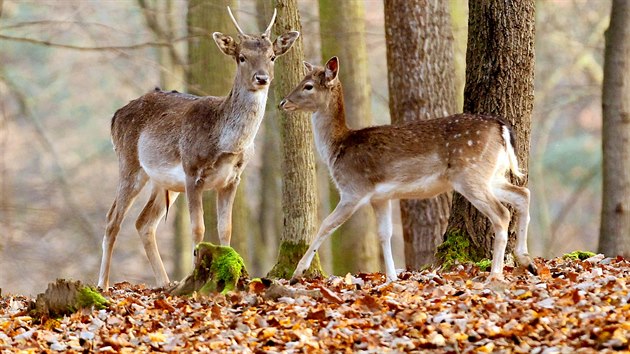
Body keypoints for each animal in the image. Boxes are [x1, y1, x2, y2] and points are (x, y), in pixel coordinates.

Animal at [97, 6, 300, 290]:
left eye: (271, 56)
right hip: (130, 164)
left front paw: (230, 270)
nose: (262, 78)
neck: (226, 144)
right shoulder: (192, 171)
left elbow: (226, 228)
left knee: (143, 222)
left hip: (164, 183)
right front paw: (194, 276)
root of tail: (115, 116)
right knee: (112, 219)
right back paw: (103, 285)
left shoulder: (233, 178)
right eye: (241, 57)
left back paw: (165, 283)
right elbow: (199, 228)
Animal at [282, 57, 540, 284]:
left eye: (308, 85)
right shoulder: (380, 197)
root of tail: (502, 127)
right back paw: (527, 262)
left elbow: (326, 225)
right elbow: (384, 234)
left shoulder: (353, 189)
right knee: (523, 194)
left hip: (470, 175)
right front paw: (391, 277)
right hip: (491, 175)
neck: (337, 148)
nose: (283, 102)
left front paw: (297, 273)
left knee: (502, 213)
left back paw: (495, 274)